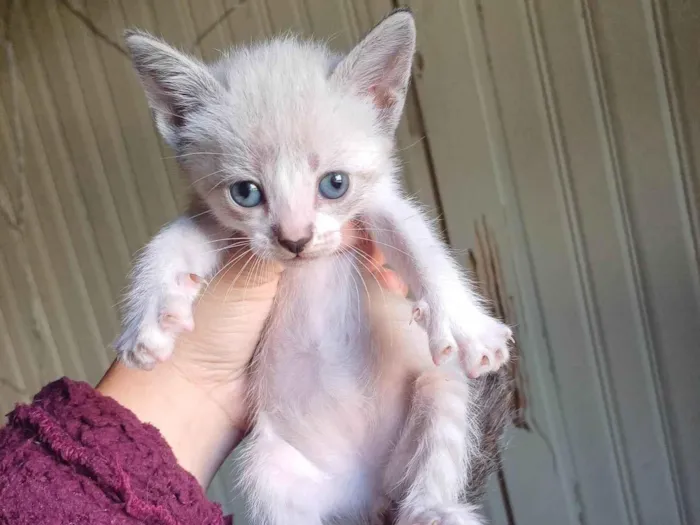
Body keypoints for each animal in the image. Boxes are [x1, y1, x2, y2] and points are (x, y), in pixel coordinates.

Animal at [119, 9, 516, 524]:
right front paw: (146, 321)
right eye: (245, 192)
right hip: (267, 463)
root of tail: (365, 493)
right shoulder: (213, 223)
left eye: (334, 184)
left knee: (431, 464)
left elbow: (420, 243)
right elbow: (167, 242)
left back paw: (433, 510)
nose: (294, 239)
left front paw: (469, 327)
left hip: (439, 389)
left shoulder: (379, 205)